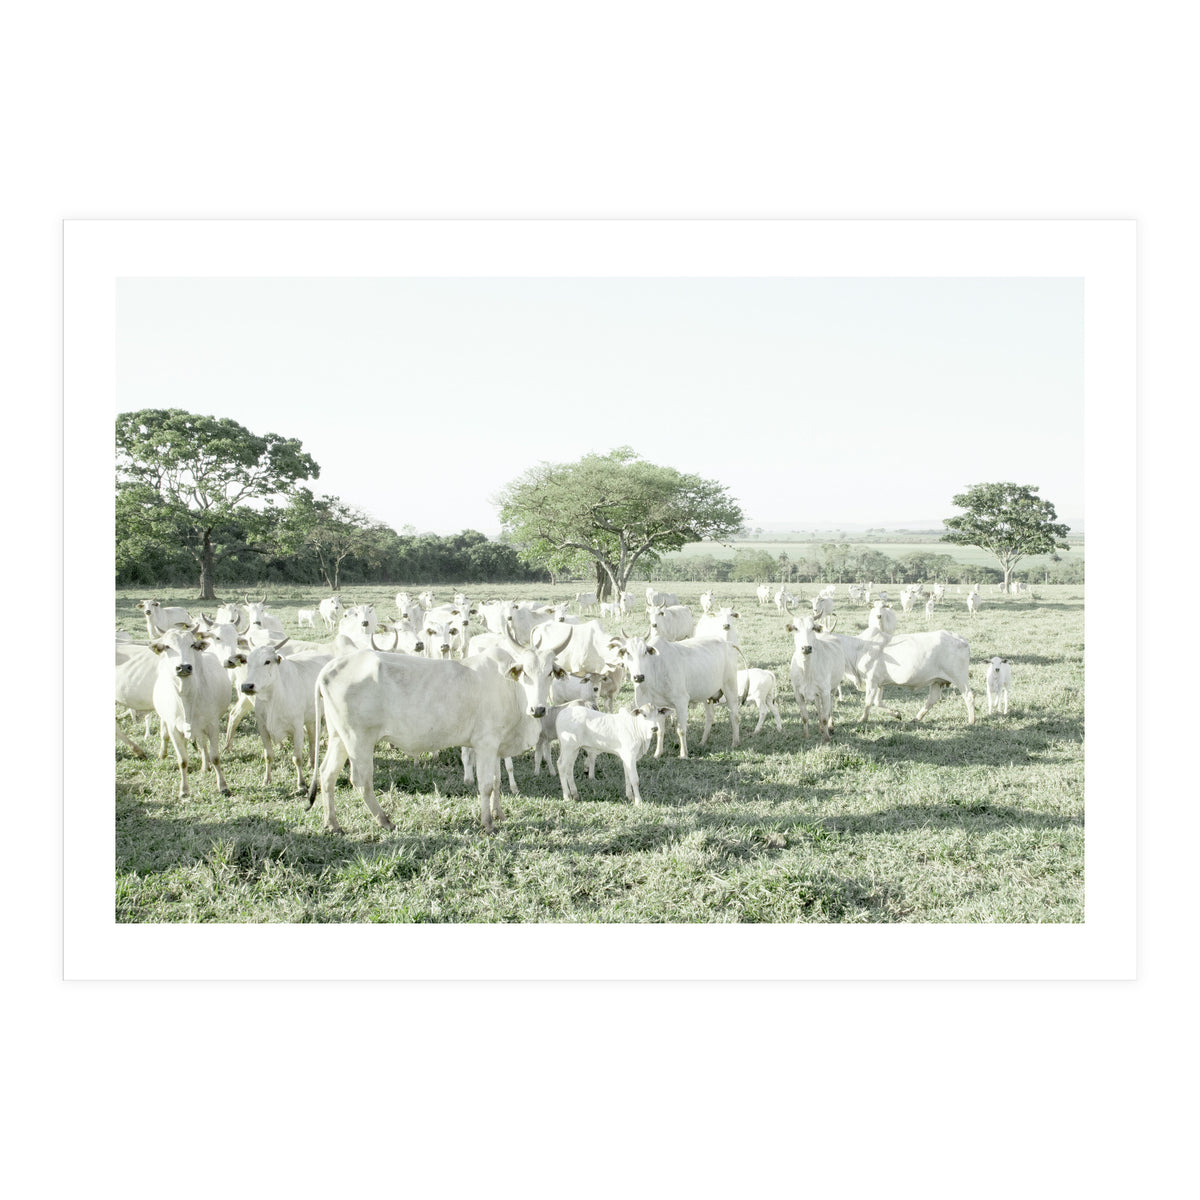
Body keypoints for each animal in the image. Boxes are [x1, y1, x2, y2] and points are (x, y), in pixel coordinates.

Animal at [149, 625, 233, 798]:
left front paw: (223, 786)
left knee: (202, 744)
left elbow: (215, 757)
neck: (187, 698)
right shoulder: (174, 728)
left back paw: (205, 765)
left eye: (192, 645)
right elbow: (182, 760)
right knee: (167, 735)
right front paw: (184, 790)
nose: (184, 667)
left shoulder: (212, 725)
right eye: (167, 646)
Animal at [307, 623, 573, 833]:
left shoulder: (496, 745)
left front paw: (499, 814)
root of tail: (331, 667)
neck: (510, 688)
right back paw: (385, 821)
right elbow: (486, 785)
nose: (538, 709)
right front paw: (487, 823)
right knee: (361, 780)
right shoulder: (485, 744)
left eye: (550, 673)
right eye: (525, 672)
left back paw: (332, 823)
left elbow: (497, 781)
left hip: (338, 737)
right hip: (358, 740)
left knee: (327, 774)